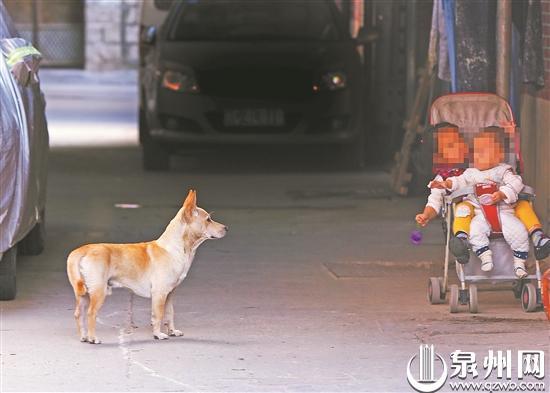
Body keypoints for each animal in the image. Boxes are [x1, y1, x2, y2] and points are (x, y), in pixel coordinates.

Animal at [66, 190, 226, 344]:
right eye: (208, 219)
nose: (227, 228)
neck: (176, 249)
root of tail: (81, 250)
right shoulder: (160, 293)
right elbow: (158, 315)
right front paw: (158, 334)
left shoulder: (170, 294)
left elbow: (170, 313)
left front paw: (172, 331)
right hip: (98, 292)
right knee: (91, 314)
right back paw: (93, 338)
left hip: (84, 295)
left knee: (78, 314)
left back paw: (84, 337)